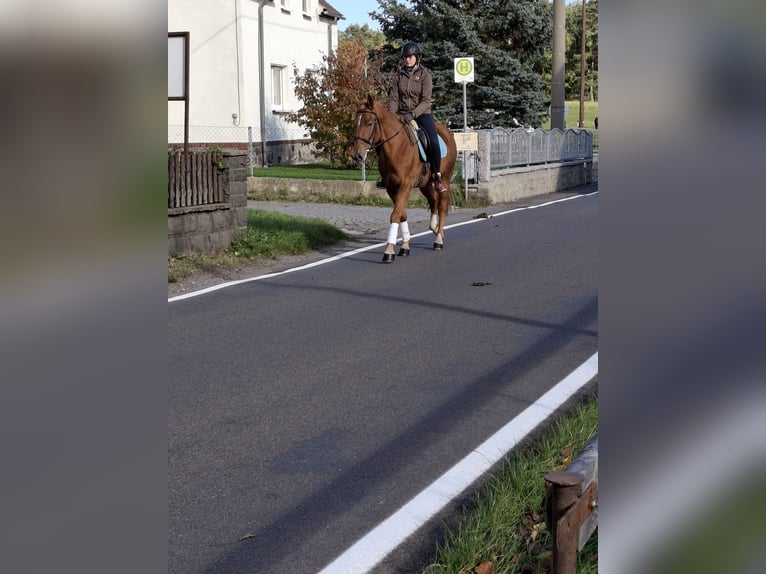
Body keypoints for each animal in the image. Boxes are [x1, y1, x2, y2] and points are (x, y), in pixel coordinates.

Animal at [351, 94, 458, 263]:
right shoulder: (391, 188)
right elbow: (401, 214)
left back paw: (439, 239)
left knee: (441, 205)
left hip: (445, 179)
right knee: (434, 200)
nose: (357, 155)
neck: (397, 147)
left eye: (369, 123)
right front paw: (405, 246)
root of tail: (447, 132)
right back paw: (434, 228)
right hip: (425, 184)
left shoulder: (405, 186)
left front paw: (389, 251)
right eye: (356, 123)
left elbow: (395, 214)